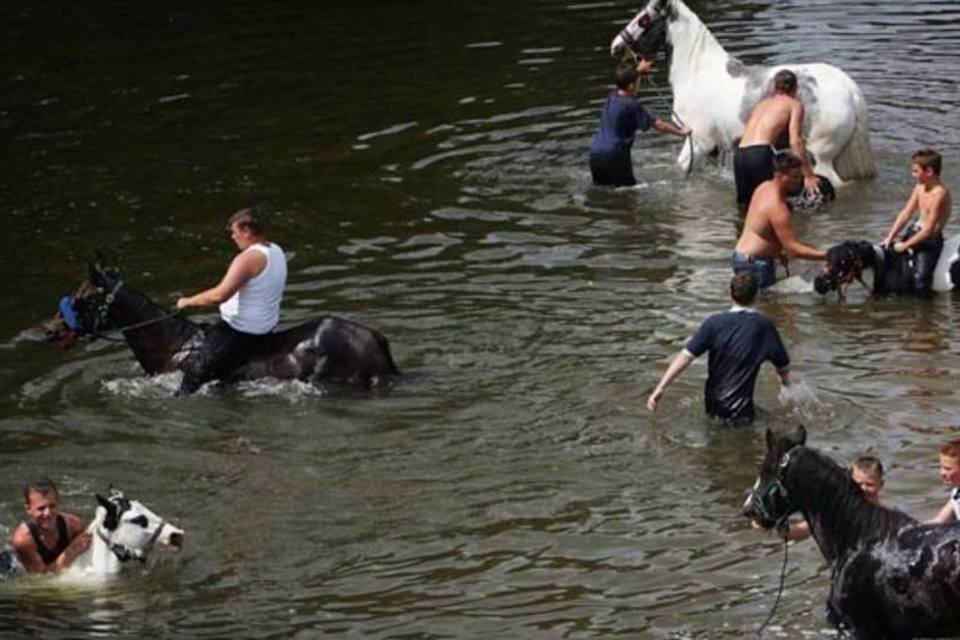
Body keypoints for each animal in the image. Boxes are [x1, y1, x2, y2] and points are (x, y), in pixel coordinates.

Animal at [612, 0, 872, 186]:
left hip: (820, 157)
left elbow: (682, 167)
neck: (697, 73)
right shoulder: (712, 149)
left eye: (644, 19)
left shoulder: (699, 142)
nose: (616, 46)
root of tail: (849, 88)